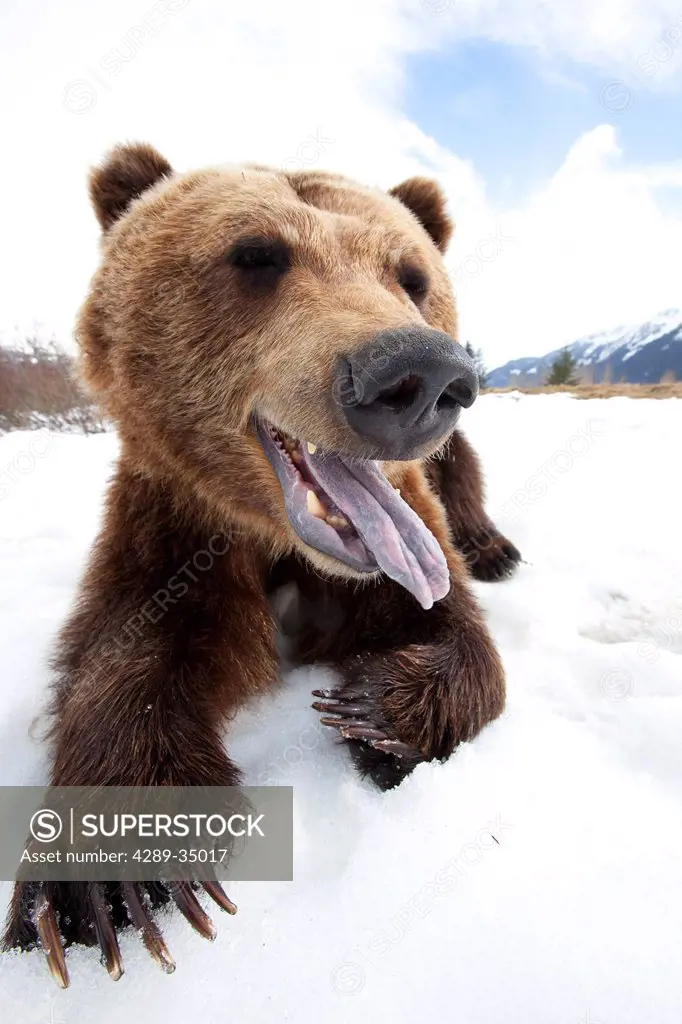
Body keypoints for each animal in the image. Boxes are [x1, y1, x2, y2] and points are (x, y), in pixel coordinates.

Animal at [2, 142, 518, 983]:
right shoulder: (170, 522)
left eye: (412, 276)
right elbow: (124, 649)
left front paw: (370, 706)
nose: (418, 372)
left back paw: (496, 548)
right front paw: (115, 886)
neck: (277, 541)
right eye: (255, 255)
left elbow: (461, 635)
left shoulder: (405, 539)